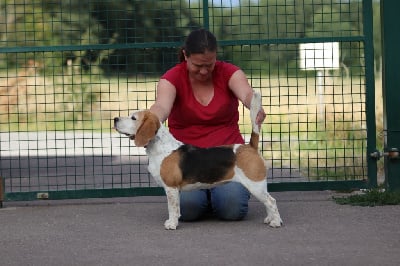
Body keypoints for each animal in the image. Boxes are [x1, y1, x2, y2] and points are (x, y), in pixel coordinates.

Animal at [112, 92, 282, 230]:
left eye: (133, 118)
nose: (115, 119)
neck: (160, 147)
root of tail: (250, 146)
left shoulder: (171, 188)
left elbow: (172, 209)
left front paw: (171, 224)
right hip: (257, 186)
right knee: (268, 201)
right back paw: (269, 219)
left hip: (255, 185)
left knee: (272, 201)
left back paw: (276, 222)